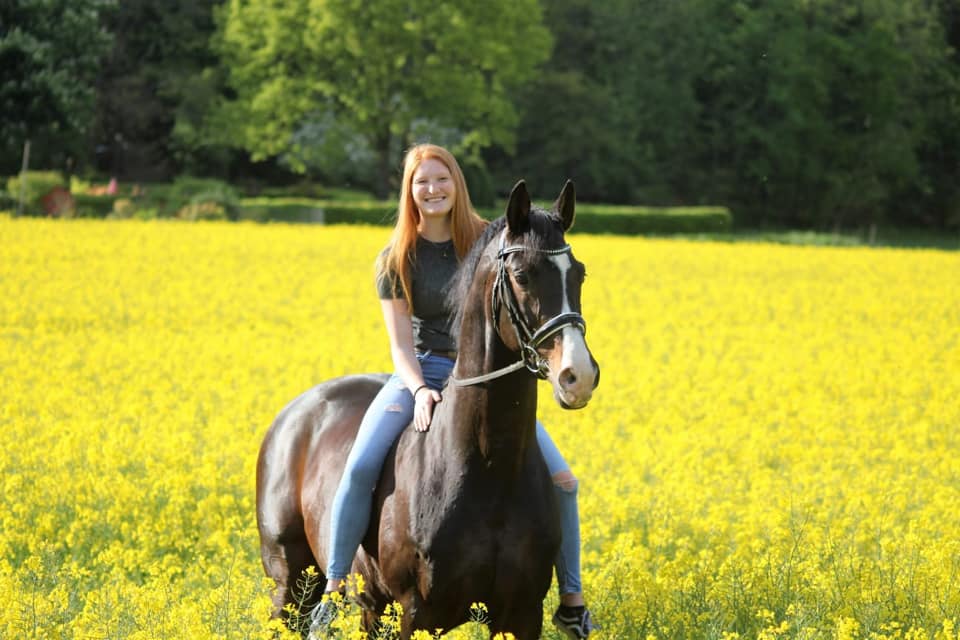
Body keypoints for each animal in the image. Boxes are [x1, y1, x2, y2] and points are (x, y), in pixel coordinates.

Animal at [255, 178, 600, 636]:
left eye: (579, 273)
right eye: (522, 275)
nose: (578, 376)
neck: (487, 465)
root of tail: (293, 412)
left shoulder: (522, 615)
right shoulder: (417, 614)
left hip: (370, 607)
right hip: (289, 582)